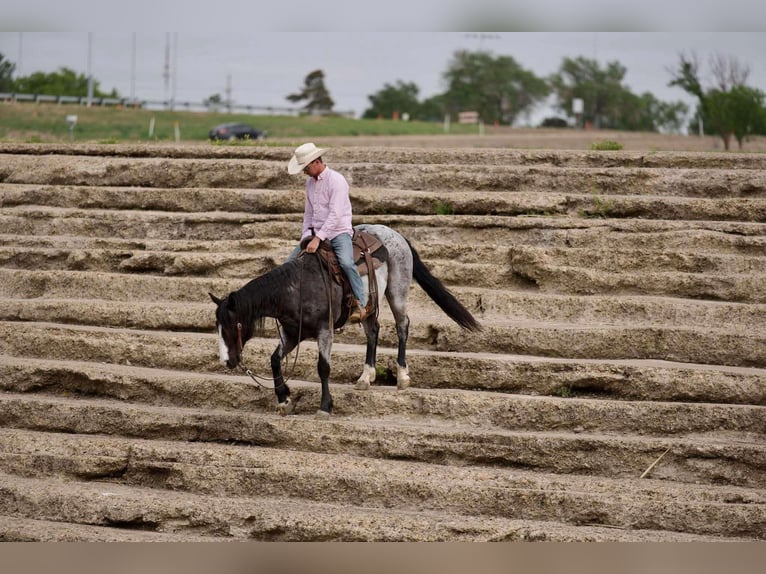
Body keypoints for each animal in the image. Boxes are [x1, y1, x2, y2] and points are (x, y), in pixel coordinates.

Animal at [210, 224, 484, 418]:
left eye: (234, 324)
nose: (226, 361)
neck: (297, 288)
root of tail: (396, 234)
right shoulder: (292, 334)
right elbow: (275, 360)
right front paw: (284, 400)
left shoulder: (324, 330)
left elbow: (323, 367)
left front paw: (324, 406)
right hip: (368, 306)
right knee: (373, 331)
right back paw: (366, 377)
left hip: (397, 292)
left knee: (402, 326)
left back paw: (402, 376)